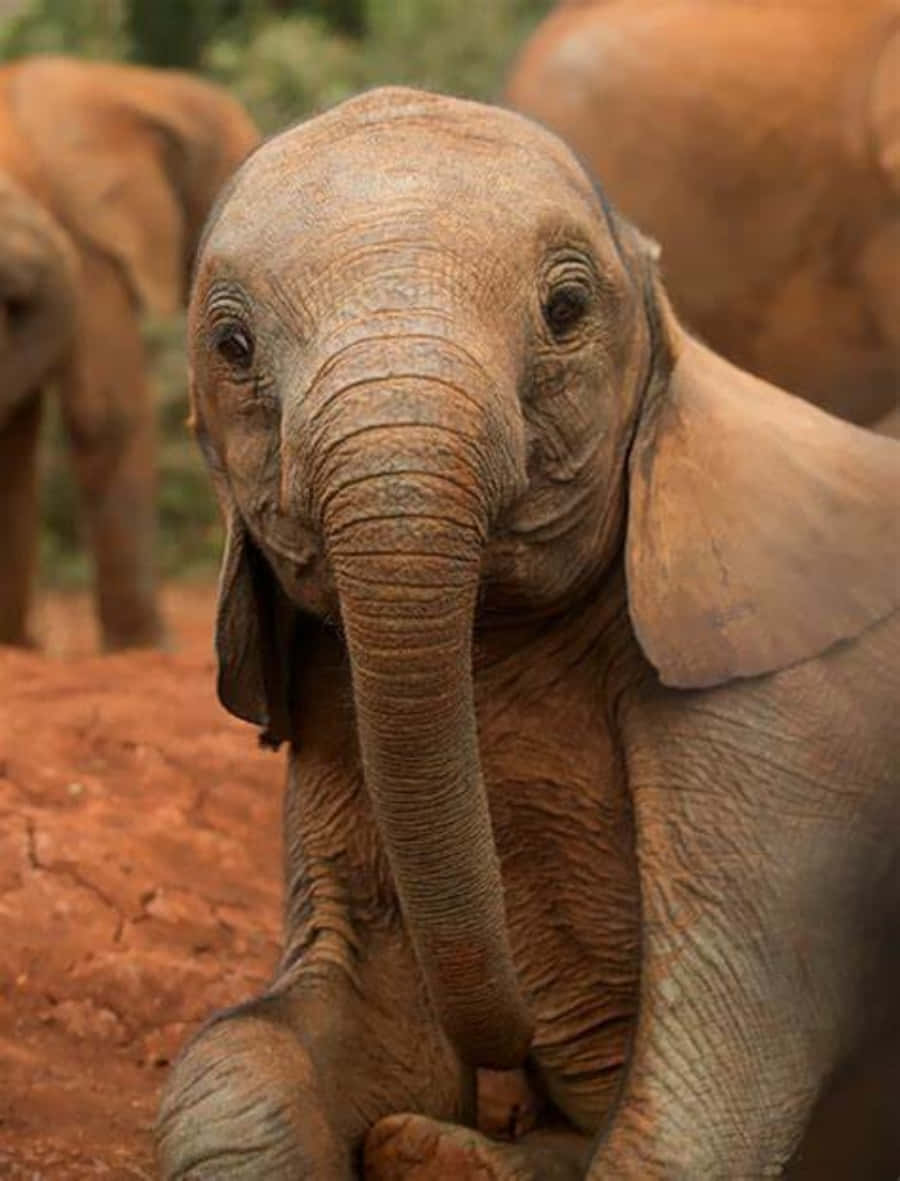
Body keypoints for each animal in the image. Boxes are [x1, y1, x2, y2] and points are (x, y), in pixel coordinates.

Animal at [156, 87, 900, 1179]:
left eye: (566, 310)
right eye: (232, 348)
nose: (515, 1053)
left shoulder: (781, 733)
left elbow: (698, 1104)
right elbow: (300, 1041)